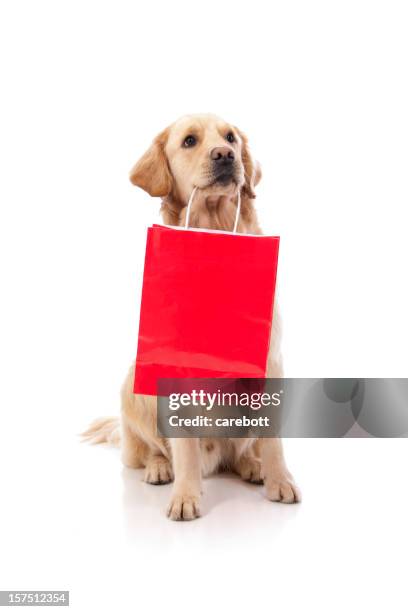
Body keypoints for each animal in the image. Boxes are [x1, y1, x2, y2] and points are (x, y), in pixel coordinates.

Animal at [83, 113, 300, 516]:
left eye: (230, 137)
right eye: (189, 141)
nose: (225, 155)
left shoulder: (270, 362)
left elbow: (273, 437)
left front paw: (280, 480)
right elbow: (184, 444)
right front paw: (185, 495)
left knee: (241, 452)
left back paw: (252, 465)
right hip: (132, 385)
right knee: (150, 450)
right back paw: (160, 468)